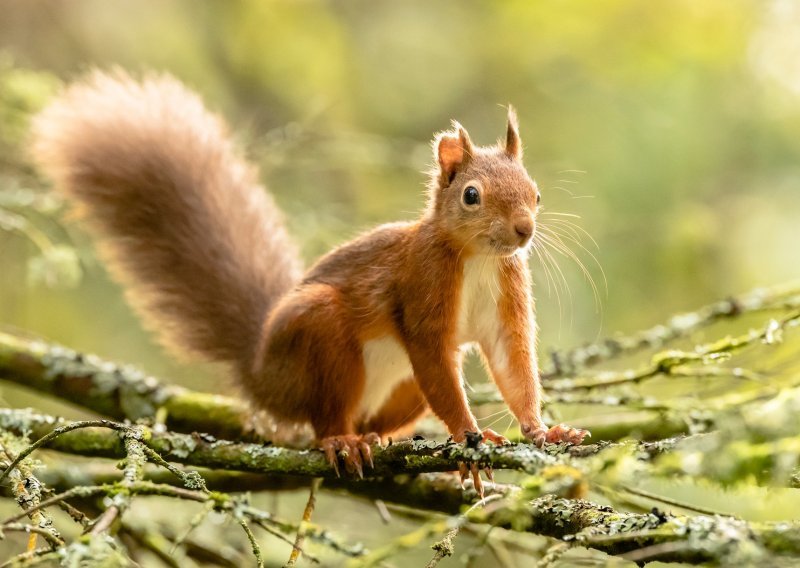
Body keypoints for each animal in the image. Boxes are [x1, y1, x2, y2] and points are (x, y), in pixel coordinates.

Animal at [31, 70, 588, 488]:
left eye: (536, 192)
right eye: (472, 195)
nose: (524, 229)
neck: (478, 258)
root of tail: (261, 373)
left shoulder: (507, 292)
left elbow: (513, 363)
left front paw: (543, 431)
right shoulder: (423, 287)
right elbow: (435, 360)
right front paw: (471, 436)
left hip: (400, 389)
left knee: (377, 416)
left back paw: (381, 440)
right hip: (318, 337)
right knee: (326, 415)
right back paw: (343, 441)